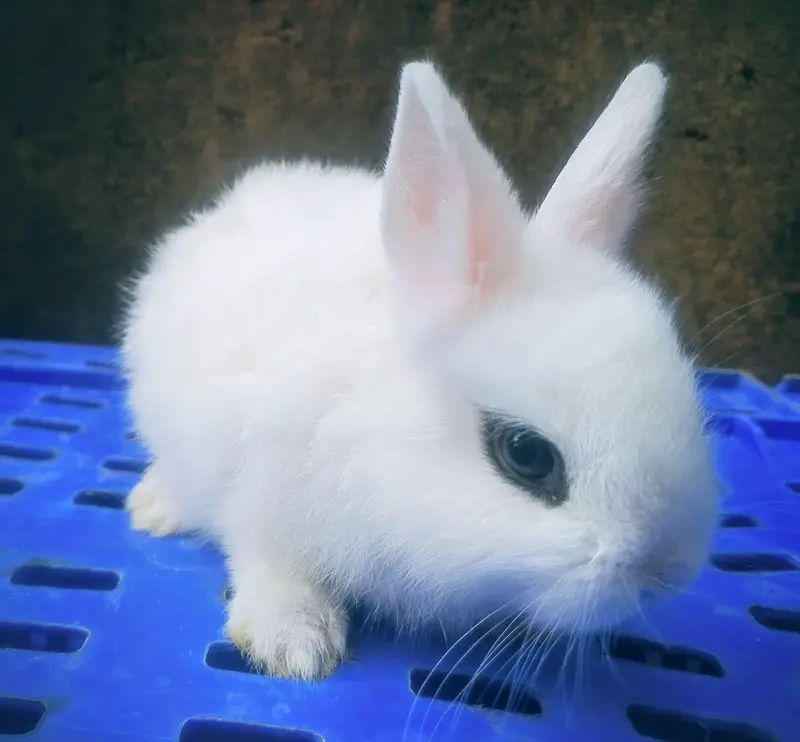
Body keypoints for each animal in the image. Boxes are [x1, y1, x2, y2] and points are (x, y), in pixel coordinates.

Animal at [120, 59, 719, 682]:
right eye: (526, 455)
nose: (666, 569)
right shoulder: (263, 504)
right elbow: (273, 568)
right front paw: (296, 648)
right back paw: (153, 508)